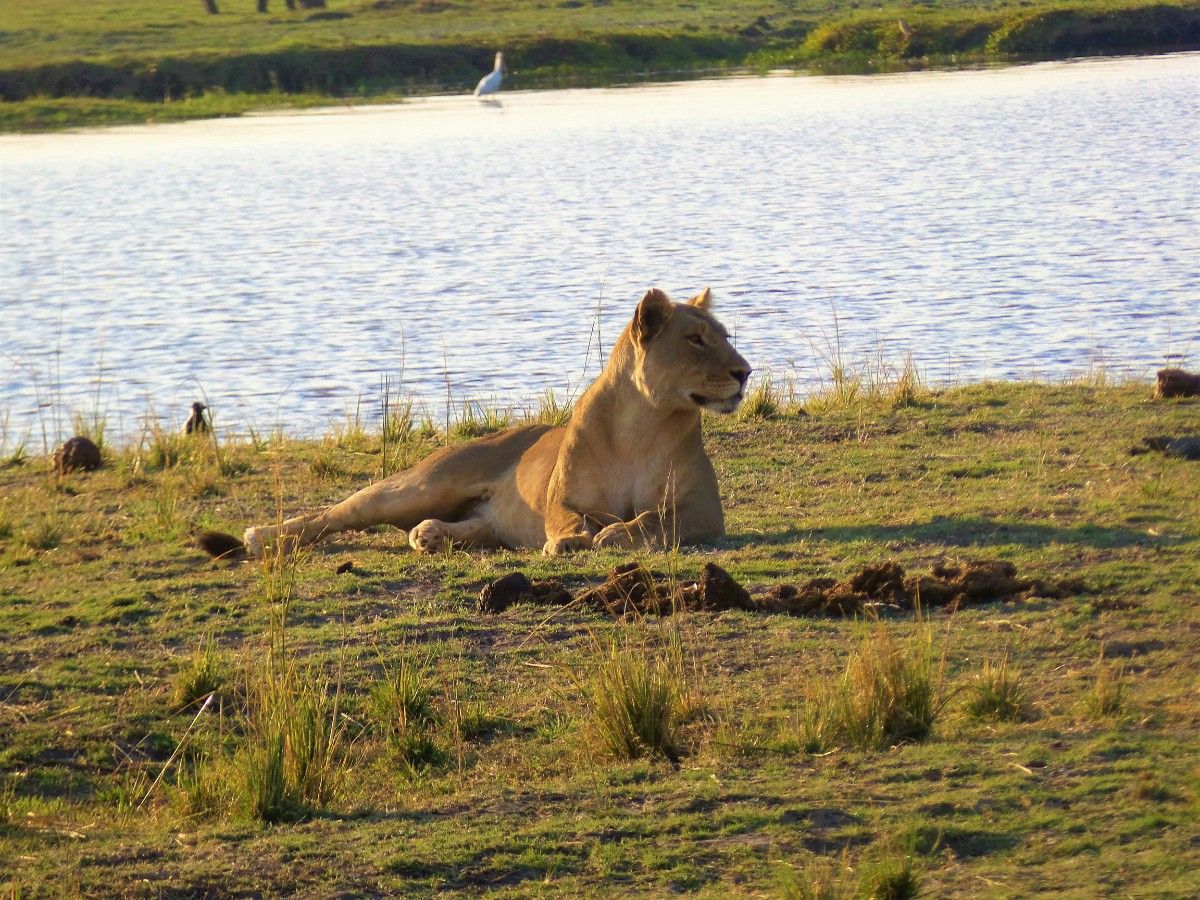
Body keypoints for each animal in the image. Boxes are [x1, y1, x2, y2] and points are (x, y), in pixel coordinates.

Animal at [205, 289, 748, 561]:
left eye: (726, 335)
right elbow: (567, 517)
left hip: (475, 515)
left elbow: (657, 518)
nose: (745, 372)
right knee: (335, 514)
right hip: (421, 484)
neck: (644, 424)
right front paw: (575, 538)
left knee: (470, 526)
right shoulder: (563, 496)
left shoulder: (704, 510)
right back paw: (264, 537)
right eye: (696, 339)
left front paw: (615, 533)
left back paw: (428, 537)